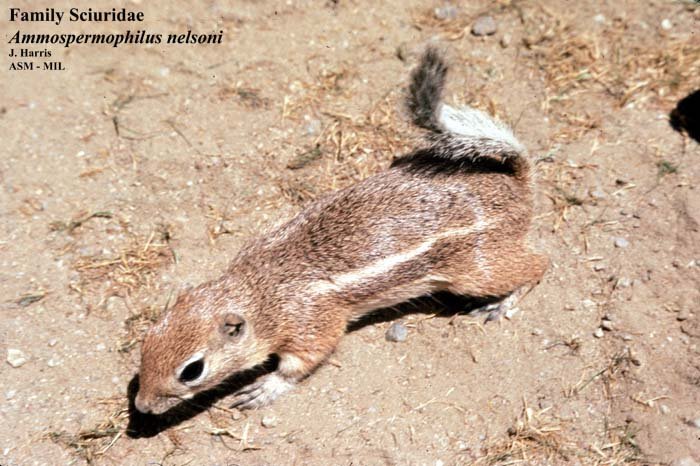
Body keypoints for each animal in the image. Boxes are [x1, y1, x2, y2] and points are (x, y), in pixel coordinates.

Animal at [134, 48, 548, 415]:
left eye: (192, 370)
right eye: (146, 339)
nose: (141, 406)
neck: (259, 288)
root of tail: (518, 185)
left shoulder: (313, 325)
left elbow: (301, 363)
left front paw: (265, 389)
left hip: (476, 272)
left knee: (540, 264)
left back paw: (502, 303)